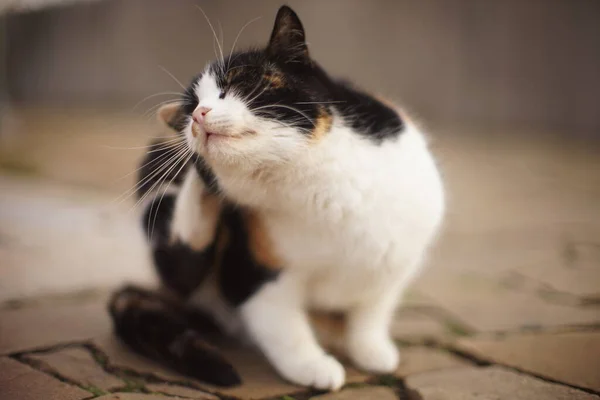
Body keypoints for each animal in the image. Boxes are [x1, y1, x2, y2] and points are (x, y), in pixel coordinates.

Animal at [110, 4, 442, 392]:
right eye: (191, 104)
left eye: (234, 84)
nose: (196, 116)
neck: (313, 182)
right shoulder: (254, 272)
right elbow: (284, 327)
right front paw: (315, 368)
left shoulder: (397, 260)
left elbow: (373, 311)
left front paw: (372, 350)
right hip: (158, 180)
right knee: (183, 252)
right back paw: (196, 179)